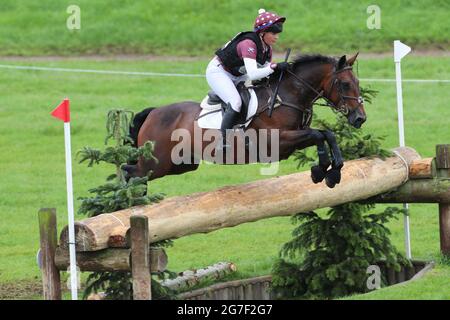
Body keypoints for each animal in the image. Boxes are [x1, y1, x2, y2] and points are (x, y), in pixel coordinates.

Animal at [123, 52, 366, 188]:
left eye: (357, 82)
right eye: (345, 84)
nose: (360, 118)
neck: (287, 96)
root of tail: (154, 113)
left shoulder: (293, 141)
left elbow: (326, 135)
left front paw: (331, 172)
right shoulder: (277, 142)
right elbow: (318, 134)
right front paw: (322, 170)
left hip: (181, 164)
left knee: (133, 171)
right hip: (157, 163)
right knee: (131, 172)